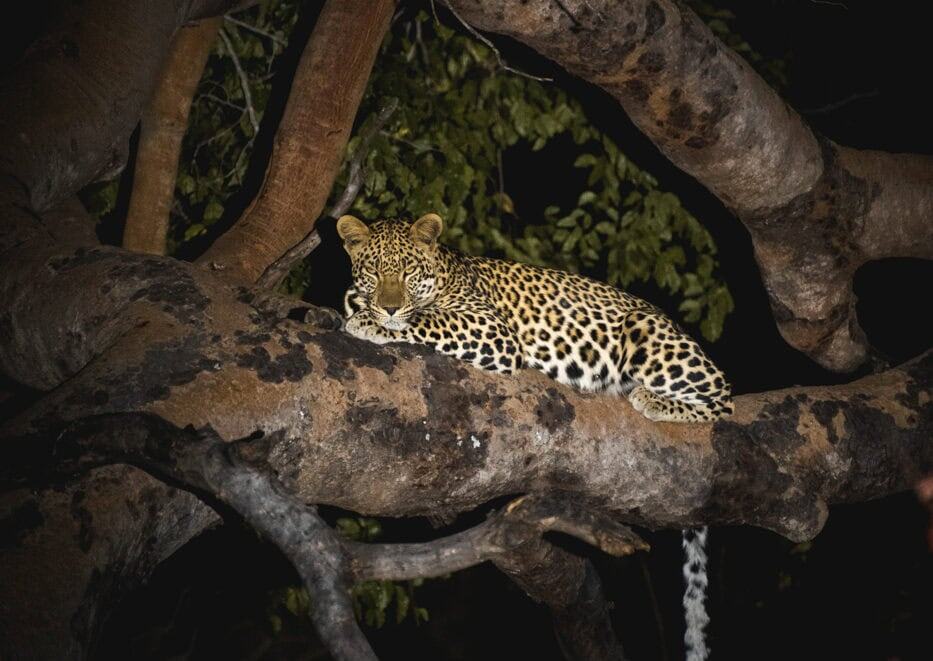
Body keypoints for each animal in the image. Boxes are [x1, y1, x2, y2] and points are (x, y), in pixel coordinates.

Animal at [337, 213, 733, 423]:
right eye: (373, 271)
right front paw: (368, 314)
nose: (389, 307)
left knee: (723, 401)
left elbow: (430, 318)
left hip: (645, 329)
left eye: (408, 272)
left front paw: (372, 322)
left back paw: (654, 400)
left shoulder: (493, 329)